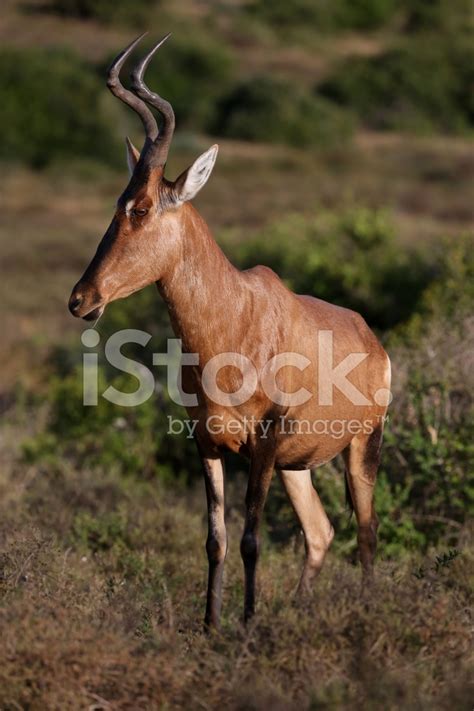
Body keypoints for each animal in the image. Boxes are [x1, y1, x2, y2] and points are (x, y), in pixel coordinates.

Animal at [68, 33, 390, 628]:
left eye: (141, 208)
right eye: (115, 205)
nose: (82, 300)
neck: (237, 317)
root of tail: (372, 339)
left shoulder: (262, 447)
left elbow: (250, 540)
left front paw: (244, 625)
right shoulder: (207, 443)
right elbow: (215, 539)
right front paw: (212, 625)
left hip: (363, 444)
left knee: (366, 531)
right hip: (297, 466)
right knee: (320, 532)